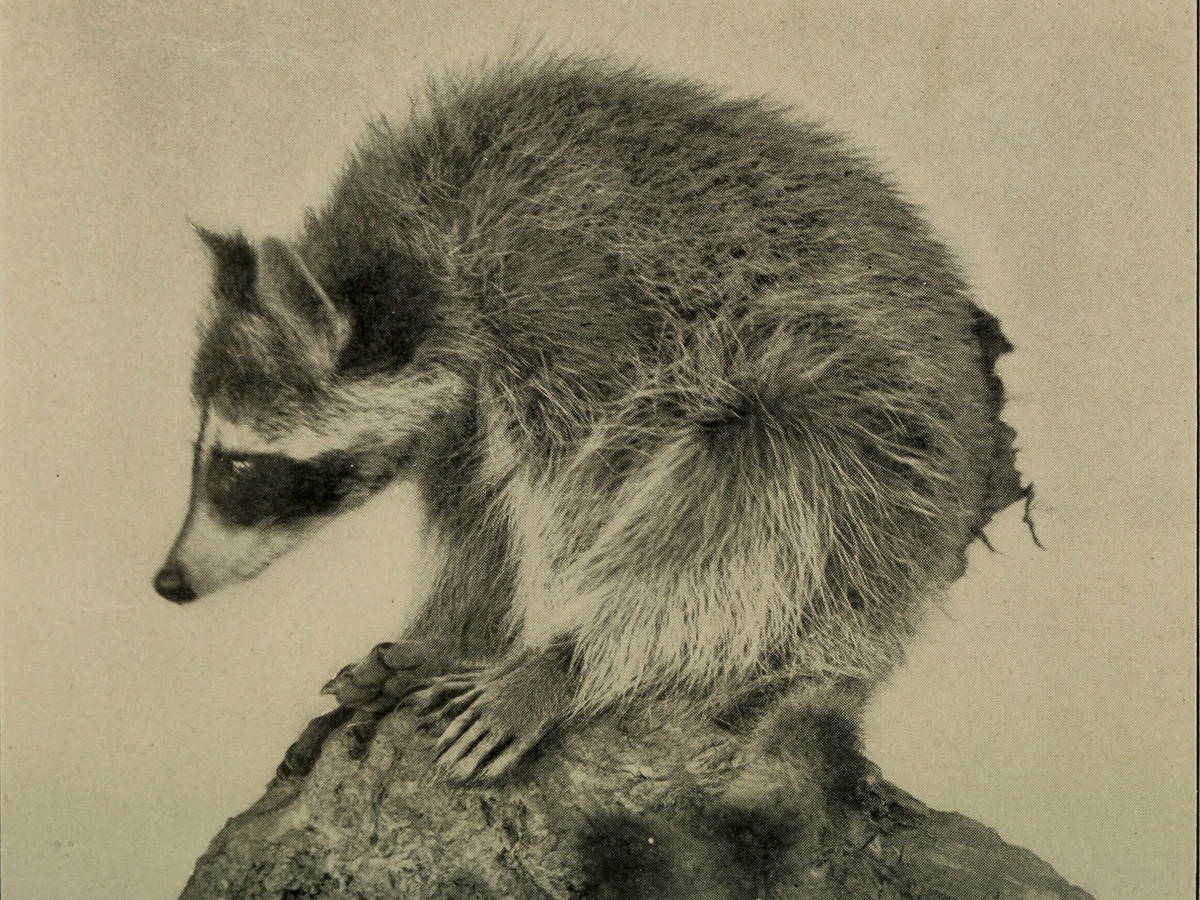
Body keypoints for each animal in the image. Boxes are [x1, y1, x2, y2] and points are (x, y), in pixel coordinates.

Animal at [155, 55, 1026, 788]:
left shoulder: (576, 314)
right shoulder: (468, 413)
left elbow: (590, 502)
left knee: (758, 487)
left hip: (868, 444)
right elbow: (477, 512)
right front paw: (455, 635)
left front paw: (549, 655)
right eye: (203, 453)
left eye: (240, 464)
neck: (420, 265)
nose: (168, 581)